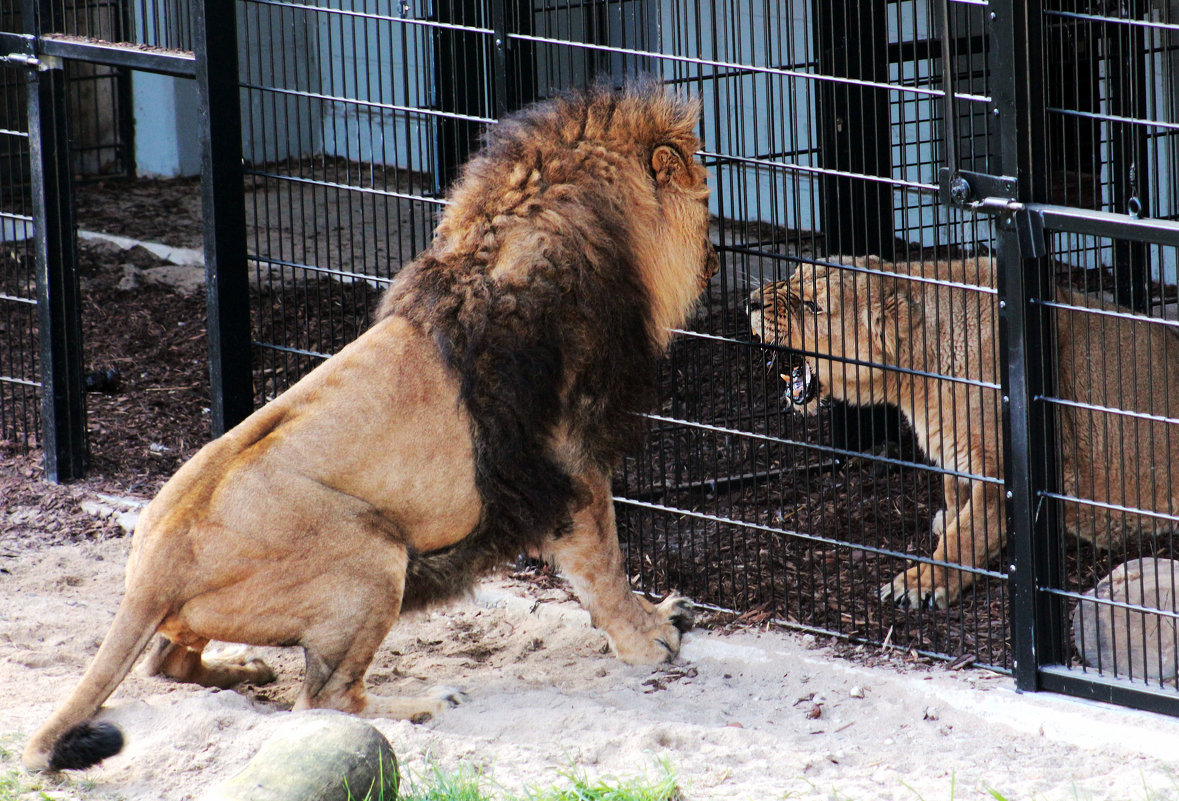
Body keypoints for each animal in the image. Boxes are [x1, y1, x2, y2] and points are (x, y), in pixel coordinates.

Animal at [22, 84, 712, 773]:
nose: (714, 241)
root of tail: (148, 574)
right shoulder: (569, 458)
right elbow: (604, 559)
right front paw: (650, 637)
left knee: (170, 661)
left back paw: (244, 670)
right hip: (372, 557)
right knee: (323, 699)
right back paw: (425, 703)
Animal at [749, 254, 1179, 608]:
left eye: (813, 305)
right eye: (792, 275)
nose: (751, 301)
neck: (916, 375)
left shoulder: (1001, 471)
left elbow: (967, 534)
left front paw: (922, 582)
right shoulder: (956, 454)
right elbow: (957, 507)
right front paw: (945, 527)